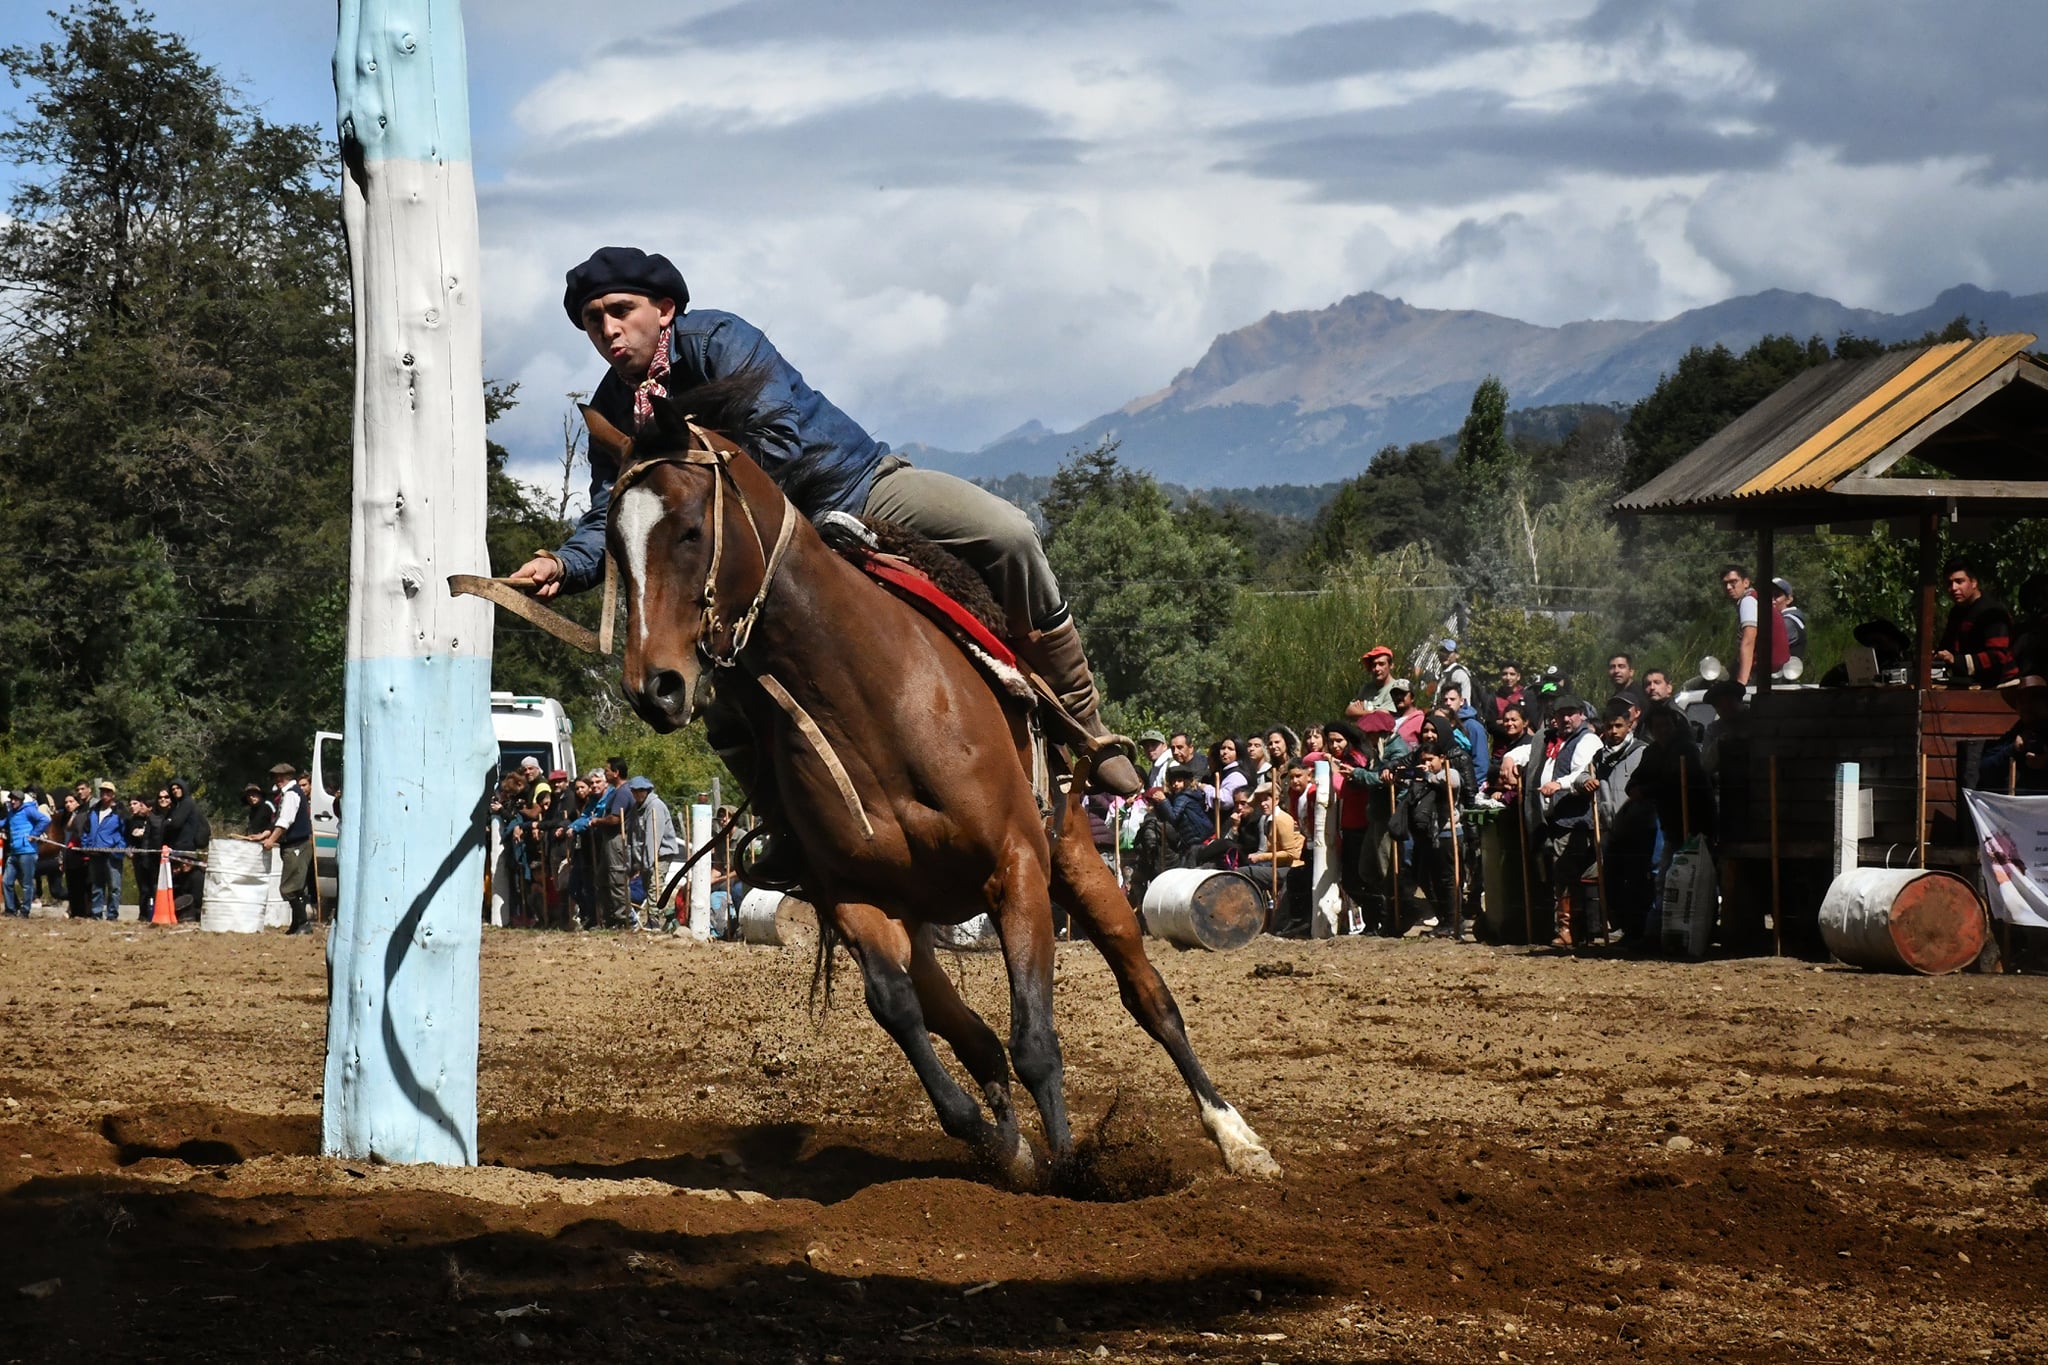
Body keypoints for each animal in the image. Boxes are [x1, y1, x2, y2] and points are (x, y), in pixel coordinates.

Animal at [593, 384, 1286, 1186]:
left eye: (690, 529)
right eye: (614, 546)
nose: (654, 687)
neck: (870, 697)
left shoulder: (1018, 867)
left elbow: (1036, 1042)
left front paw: (1069, 1169)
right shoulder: (854, 896)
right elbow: (901, 1010)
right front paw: (1003, 1145)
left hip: (1076, 858)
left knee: (1149, 996)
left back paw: (1237, 1137)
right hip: (923, 918)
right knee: (967, 1029)